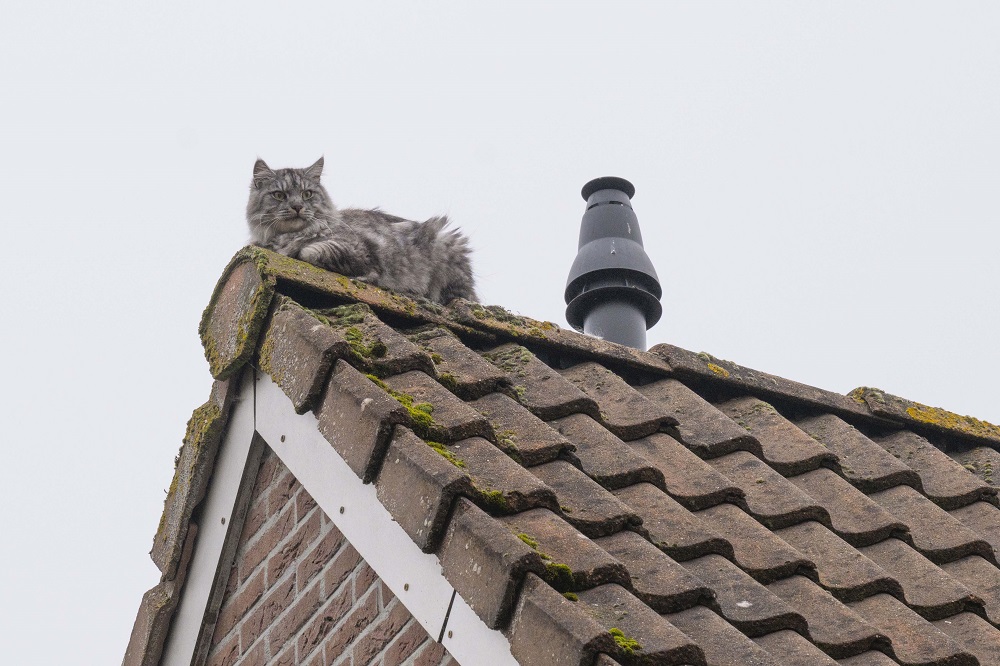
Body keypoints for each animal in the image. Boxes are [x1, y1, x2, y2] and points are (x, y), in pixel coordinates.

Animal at [244, 157, 474, 302]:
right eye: (279, 195)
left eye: (307, 194)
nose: (297, 207)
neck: (290, 236)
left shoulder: (359, 249)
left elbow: (308, 251)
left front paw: (365, 277)